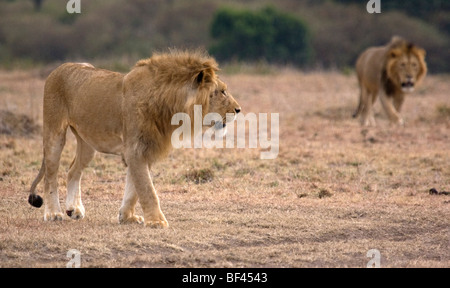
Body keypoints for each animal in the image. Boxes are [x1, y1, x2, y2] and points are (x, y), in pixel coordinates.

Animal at [28, 50, 243, 228]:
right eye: (222, 91)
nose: (238, 110)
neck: (169, 107)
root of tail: (60, 67)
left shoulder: (147, 148)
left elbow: (134, 189)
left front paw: (127, 217)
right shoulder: (135, 149)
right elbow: (147, 189)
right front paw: (156, 221)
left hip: (88, 143)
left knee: (73, 170)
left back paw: (74, 209)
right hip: (54, 131)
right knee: (50, 175)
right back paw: (54, 213)